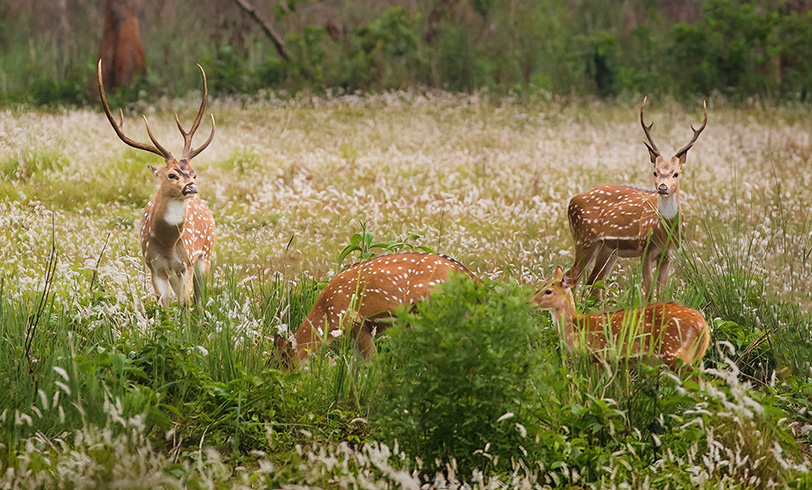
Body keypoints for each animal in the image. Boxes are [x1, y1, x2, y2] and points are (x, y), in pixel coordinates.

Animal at [97, 59, 217, 308]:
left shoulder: (187, 263)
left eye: (193, 174)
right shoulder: (154, 267)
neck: (167, 243)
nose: (191, 187)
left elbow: (185, 303)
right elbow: (164, 305)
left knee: (200, 300)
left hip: (206, 254)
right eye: (171, 175)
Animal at [272, 253, 476, 368]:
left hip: (429, 313)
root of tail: (470, 276)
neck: (327, 314)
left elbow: (373, 361)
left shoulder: (356, 321)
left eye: (281, 361)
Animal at [528, 266, 708, 370]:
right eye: (540, 286)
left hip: (675, 353)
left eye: (548, 291)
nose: (529, 302)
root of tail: (703, 327)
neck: (575, 328)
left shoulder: (595, 356)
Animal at [564, 97, 704, 296]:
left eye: (676, 173)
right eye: (655, 172)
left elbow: (662, 290)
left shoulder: (669, 254)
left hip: (608, 249)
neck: (664, 230)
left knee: (593, 282)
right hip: (584, 238)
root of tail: (571, 201)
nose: (662, 188)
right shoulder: (645, 247)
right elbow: (647, 289)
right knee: (572, 277)